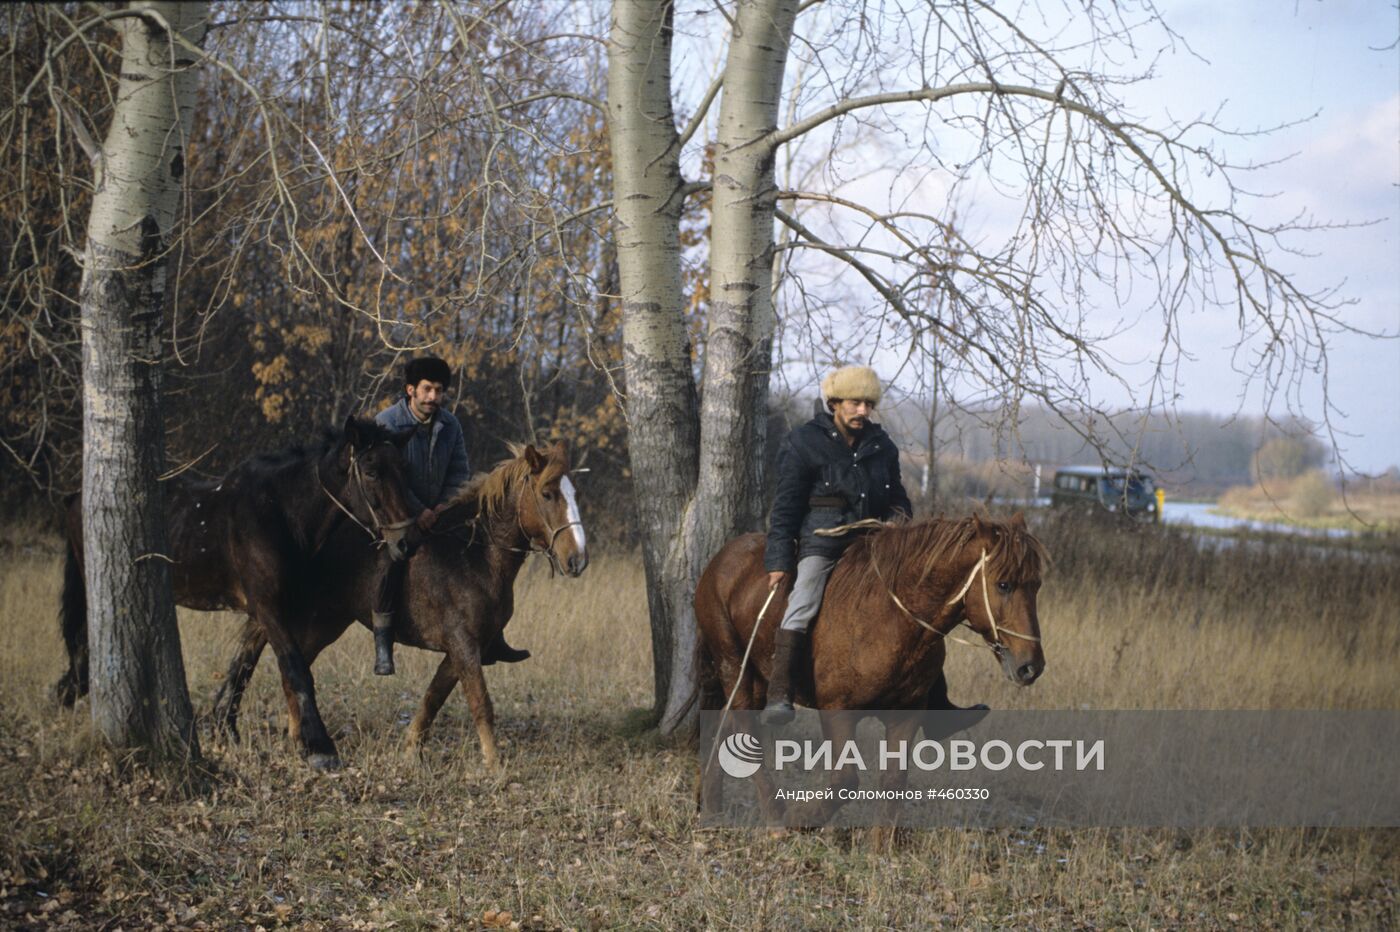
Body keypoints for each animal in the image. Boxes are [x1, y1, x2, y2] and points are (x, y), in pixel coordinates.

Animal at [205, 439, 585, 766]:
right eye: (548, 494)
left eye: (573, 493)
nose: (577, 560)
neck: (476, 553)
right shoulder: (463, 645)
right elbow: (480, 702)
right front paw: (494, 764)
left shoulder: (460, 650)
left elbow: (433, 697)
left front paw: (410, 749)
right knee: (288, 667)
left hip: (327, 622)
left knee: (294, 667)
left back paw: (298, 737)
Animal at [694, 512, 1047, 817]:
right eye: (1003, 584)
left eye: (1037, 585)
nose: (1031, 666)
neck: (889, 620)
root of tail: (720, 560)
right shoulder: (838, 713)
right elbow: (845, 782)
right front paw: (799, 819)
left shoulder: (906, 715)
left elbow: (893, 784)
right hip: (733, 664)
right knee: (745, 727)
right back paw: (774, 814)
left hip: (756, 677)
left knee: (725, 725)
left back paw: (712, 807)